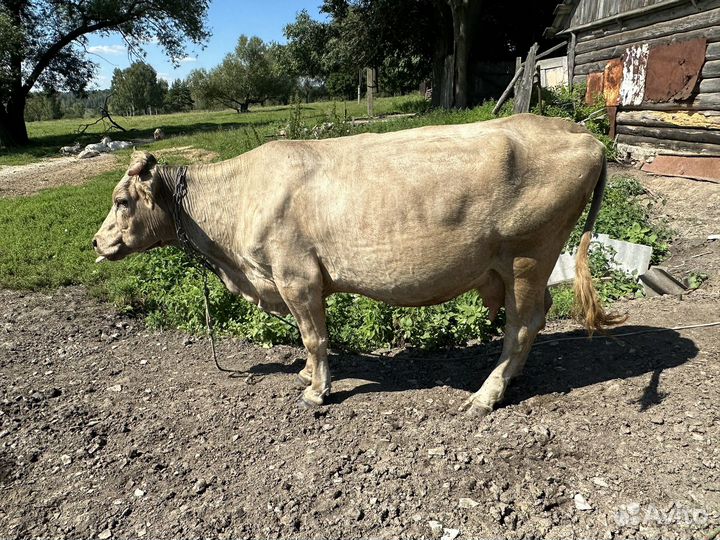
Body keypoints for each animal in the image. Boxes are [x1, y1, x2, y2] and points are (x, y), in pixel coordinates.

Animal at [93, 113, 624, 416]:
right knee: (534, 316)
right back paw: (508, 379)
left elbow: (313, 336)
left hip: (528, 254)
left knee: (523, 323)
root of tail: (582, 132)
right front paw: (307, 376)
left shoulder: (297, 276)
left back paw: (486, 394)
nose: (97, 241)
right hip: (519, 264)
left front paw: (316, 391)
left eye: (121, 200)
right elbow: (307, 340)